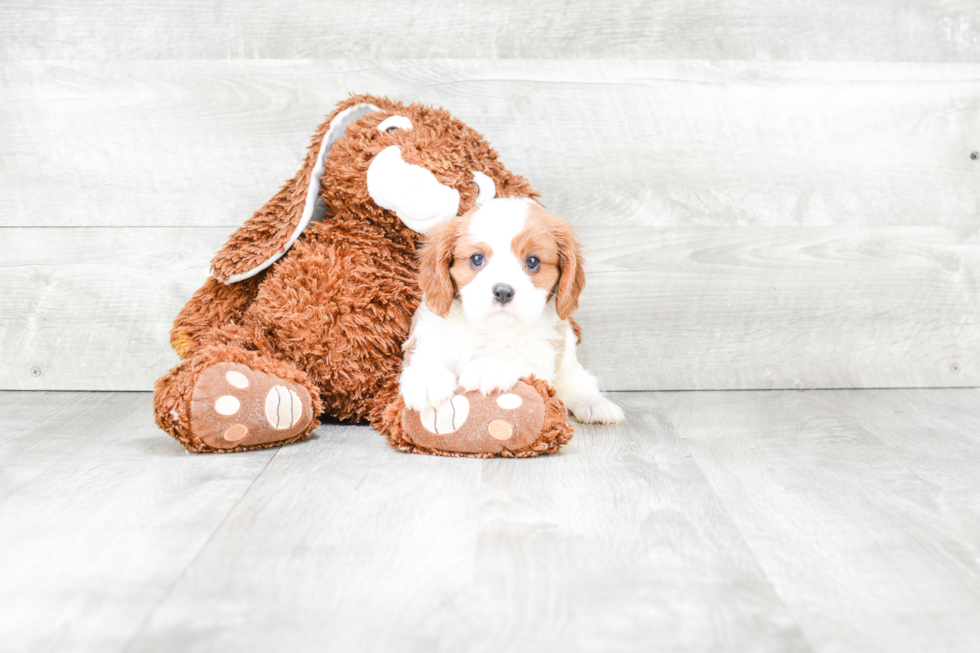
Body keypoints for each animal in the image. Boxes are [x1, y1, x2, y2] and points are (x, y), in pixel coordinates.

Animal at [400, 196, 624, 426]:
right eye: (477, 259)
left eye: (533, 261)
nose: (503, 291)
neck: (490, 329)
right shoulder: (429, 336)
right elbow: (427, 355)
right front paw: (425, 378)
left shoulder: (542, 353)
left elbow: (515, 356)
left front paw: (490, 365)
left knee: (578, 382)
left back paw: (595, 404)